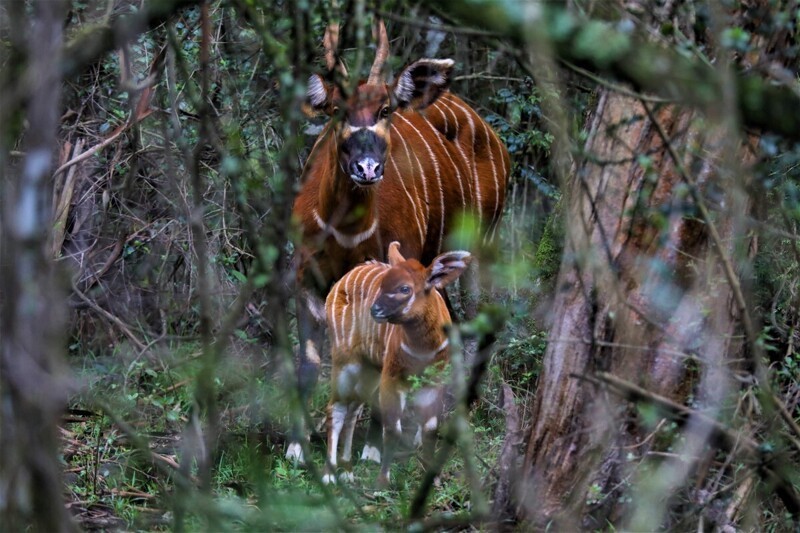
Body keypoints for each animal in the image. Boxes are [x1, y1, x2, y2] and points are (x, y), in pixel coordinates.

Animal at [288, 15, 510, 458]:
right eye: (336, 110)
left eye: (385, 108)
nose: (367, 167)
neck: (345, 237)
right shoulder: (306, 277)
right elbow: (308, 363)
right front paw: (296, 447)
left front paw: (373, 449)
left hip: (482, 242)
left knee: (482, 319)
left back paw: (461, 413)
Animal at [322, 243, 468, 484]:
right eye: (382, 285)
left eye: (405, 288)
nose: (375, 310)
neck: (422, 348)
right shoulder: (392, 376)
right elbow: (392, 428)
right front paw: (382, 481)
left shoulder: (433, 379)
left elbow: (429, 428)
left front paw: (432, 479)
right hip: (345, 361)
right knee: (337, 407)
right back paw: (329, 474)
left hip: (370, 369)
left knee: (353, 407)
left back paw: (347, 470)